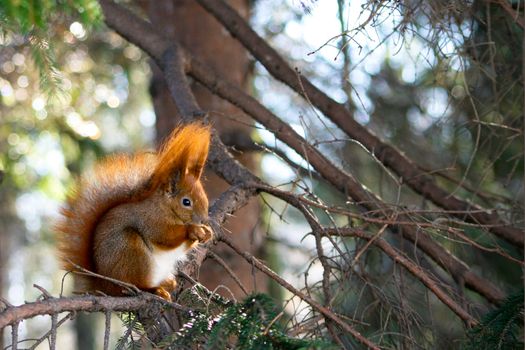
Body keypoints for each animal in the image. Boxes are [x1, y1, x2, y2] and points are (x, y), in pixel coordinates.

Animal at [55, 121, 213, 300]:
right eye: (186, 202)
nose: (203, 220)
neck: (165, 208)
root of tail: (106, 286)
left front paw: (207, 232)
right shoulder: (150, 220)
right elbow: (165, 237)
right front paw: (193, 229)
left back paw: (168, 283)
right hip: (131, 251)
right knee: (136, 285)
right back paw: (155, 290)